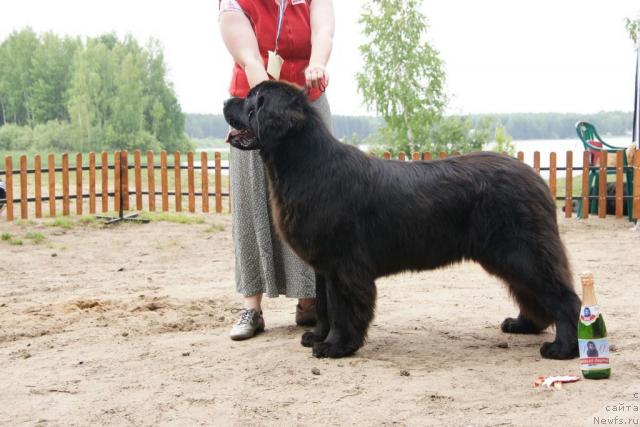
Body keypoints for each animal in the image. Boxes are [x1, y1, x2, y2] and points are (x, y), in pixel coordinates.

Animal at [224, 81, 580, 362]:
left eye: (252, 99)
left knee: (564, 297)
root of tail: (538, 179)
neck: (305, 166)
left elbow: (342, 308)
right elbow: (324, 306)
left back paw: (563, 348)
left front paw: (336, 346)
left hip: (521, 252)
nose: (226, 100)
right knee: (532, 293)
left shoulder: (344, 265)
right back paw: (524, 325)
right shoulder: (324, 267)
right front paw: (318, 336)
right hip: (509, 255)